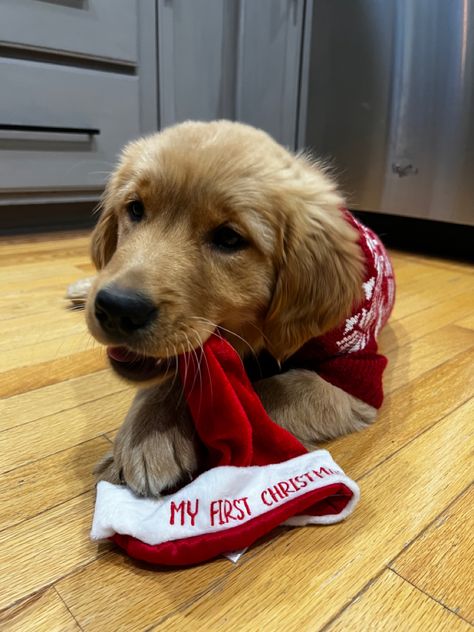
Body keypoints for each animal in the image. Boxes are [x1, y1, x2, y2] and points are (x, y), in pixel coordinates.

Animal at [86, 121, 388, 496]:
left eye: (229, 239)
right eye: (136, 209)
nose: (117, 308)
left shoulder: (355, 378)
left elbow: (261, 394)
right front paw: (147, 429)